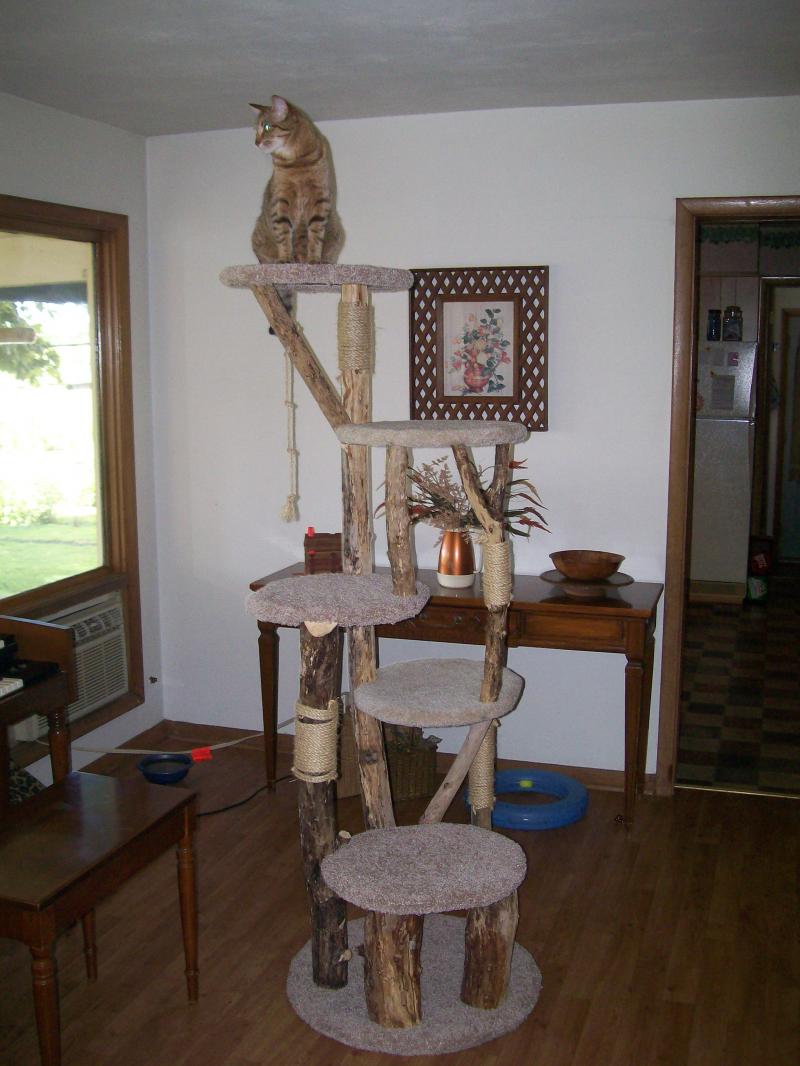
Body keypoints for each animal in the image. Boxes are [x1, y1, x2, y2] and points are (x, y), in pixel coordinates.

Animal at [250, 95, 344, 273]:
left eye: (266, 126)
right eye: (256, 131)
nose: (256, 142)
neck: (297, 162)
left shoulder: (319, 199)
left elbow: (315, 235)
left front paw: (314, 260)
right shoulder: (281, 200)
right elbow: (283, 233)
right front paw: (285, 259)